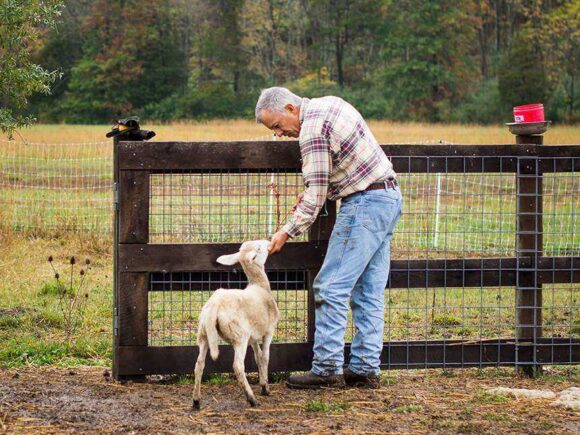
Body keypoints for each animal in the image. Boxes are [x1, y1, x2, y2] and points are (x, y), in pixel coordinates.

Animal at [191, 240, 280, 410]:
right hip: (239, 335)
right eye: (259, 248)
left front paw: (262, 383)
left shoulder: (253, 336)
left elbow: (258, 357)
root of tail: (214, 305)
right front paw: (265, 388)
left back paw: (196, 401)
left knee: (199, 364)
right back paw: (251, 399)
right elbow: (265, 356)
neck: (259, 285)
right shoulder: (268, 331)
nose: (268, 242)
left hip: (204, 334)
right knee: (238, 366)